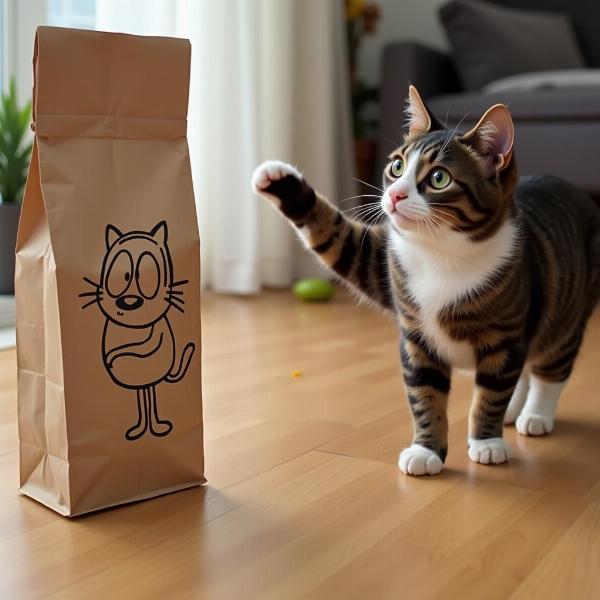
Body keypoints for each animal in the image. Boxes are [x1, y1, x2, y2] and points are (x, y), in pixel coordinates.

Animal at [252, 86, 600, 476]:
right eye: (397, 166)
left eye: (439, 179)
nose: (394, 194)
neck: (441, 253)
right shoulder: (401, 299)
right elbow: (425, 392)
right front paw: (426, 449)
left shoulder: (505, 336)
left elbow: (492, 392)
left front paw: (486, 441)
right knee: (524, 370)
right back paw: (516, 410)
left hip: (566, 313)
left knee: (549, 367)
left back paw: (535, 415)